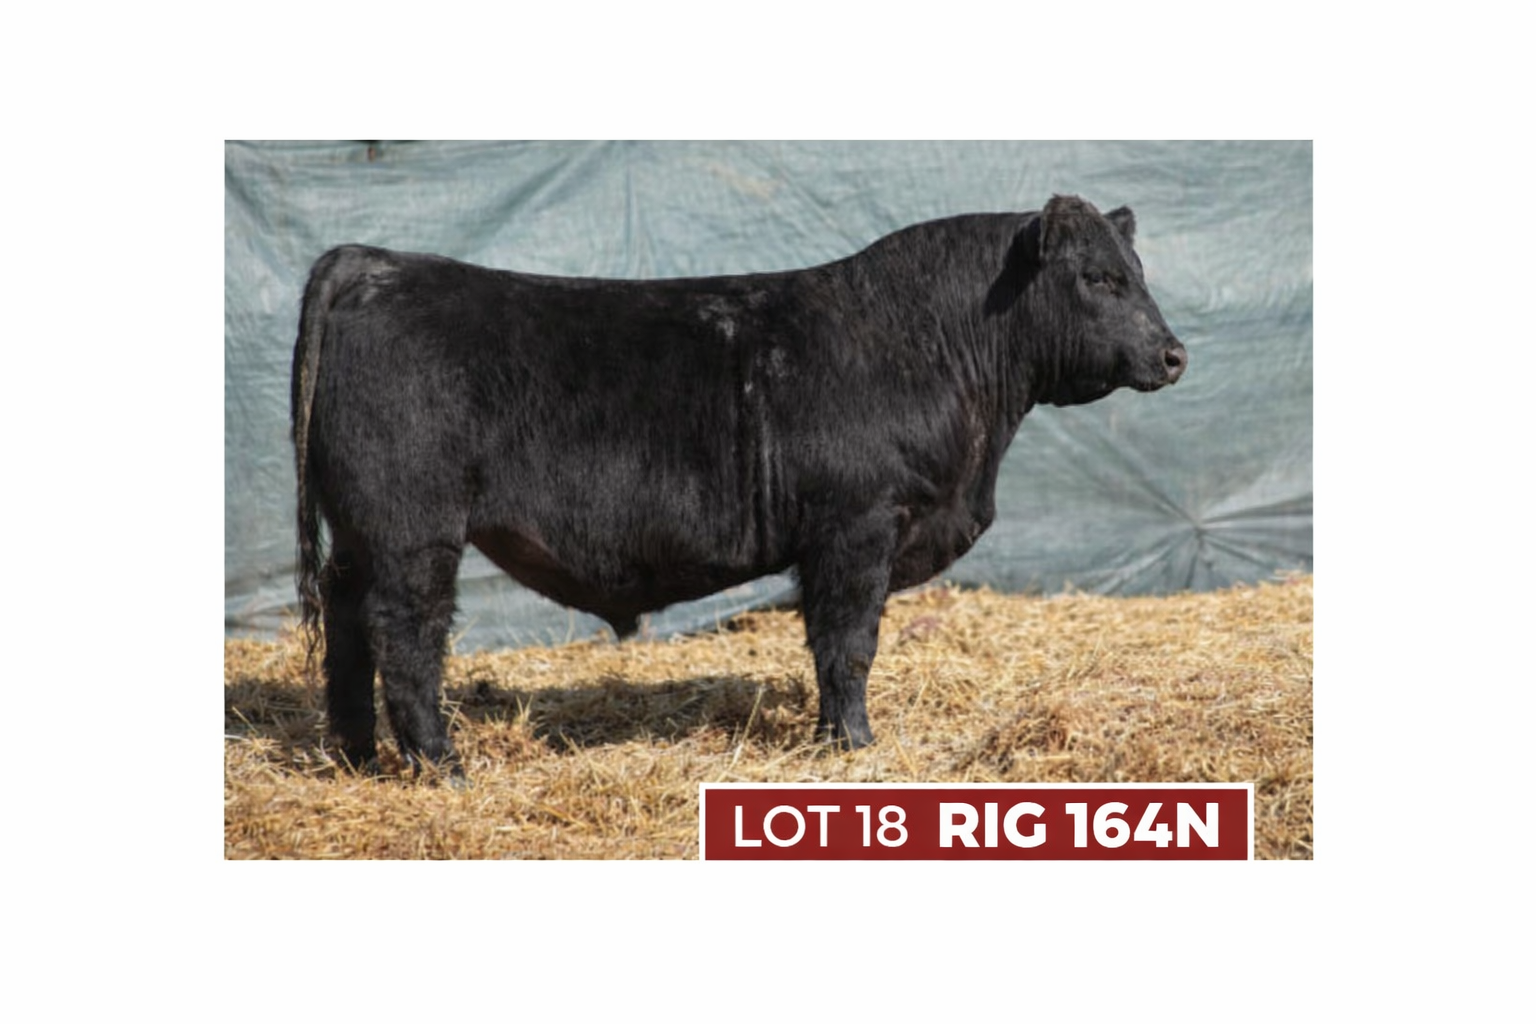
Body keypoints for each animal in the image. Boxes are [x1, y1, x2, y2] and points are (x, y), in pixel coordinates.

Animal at [292, 194, 1187, 777]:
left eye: (1138, 269)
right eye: (1098, 277)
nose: (1175, 354)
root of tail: (375, 262)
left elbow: (830, 644)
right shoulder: (856, 526)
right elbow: (848, 643)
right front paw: (853, 744)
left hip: (360, 533)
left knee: (346, 620)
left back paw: (358, 753)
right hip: (413, 530)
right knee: (406, 633)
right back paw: (440, 764)